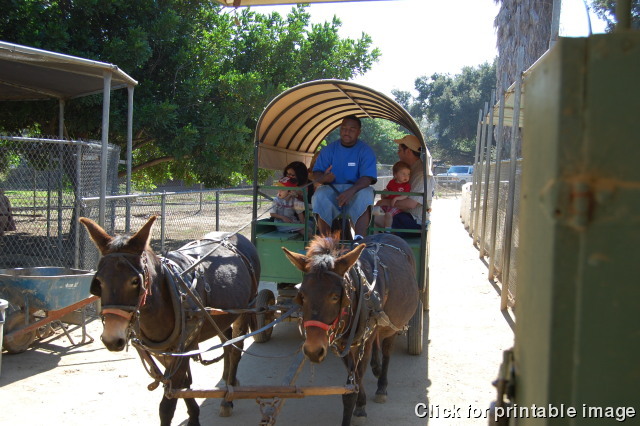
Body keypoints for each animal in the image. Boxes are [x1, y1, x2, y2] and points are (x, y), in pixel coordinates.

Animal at [80, 216, 259, 426]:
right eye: (99, 281)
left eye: (135, 281)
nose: (111, 339)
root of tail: (237, 237)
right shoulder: (165, 353)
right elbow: (184, 385)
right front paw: (194, 416)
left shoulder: (183, 349)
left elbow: (168, 405)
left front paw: (192, 416)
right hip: (221, 315)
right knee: (228, 343)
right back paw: (225, 379)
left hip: (245, 309)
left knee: (236, 349)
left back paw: (228, 398)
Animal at [283, 232, 419, 426]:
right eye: (302, 295)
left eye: (335, 297)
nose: (313, 350)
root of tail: (387, 234)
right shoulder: (343, 345)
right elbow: (353, 380)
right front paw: (361, 403)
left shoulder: (363, 343)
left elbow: (353, 385)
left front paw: (358, 408)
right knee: (377, 341)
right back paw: (376, 367)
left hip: (395, 325)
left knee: (386, 350)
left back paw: (382, 385)